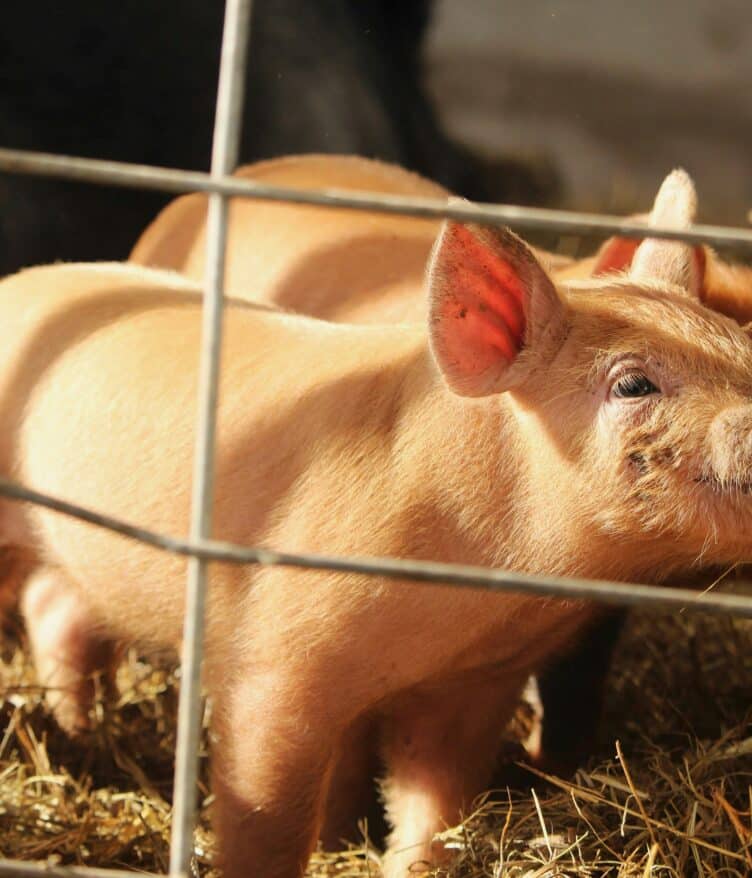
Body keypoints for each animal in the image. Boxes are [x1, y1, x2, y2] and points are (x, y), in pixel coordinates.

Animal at [4, 169, 752, 878]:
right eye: (633, 384)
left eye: (743, 350)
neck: (477, 593)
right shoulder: (275, 664)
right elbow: (268, 818)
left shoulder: (473, 685)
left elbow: (434, 803)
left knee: (57, 607)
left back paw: (77, 730)